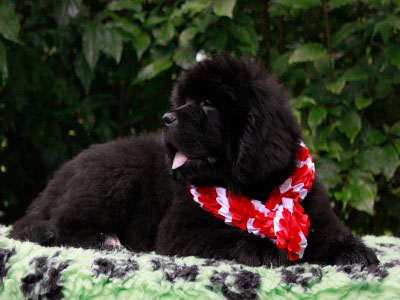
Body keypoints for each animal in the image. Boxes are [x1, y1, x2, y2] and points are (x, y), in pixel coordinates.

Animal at [10, 54, 378, 268]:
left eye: (207, 104)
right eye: (183, 101)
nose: (166, 118)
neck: (255, 189)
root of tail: (59, 176)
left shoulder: (314, 211)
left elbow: (325, 233)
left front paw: (352, 250)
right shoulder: (180, 231)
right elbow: (226, 237)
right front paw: (262, 247)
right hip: (114, 176)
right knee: (57, 225)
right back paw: (105, 240)